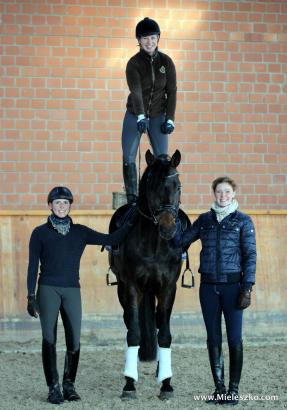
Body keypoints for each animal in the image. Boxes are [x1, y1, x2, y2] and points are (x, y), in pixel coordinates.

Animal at [108, 150, 189, 400]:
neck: (154, 243)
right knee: (129, 324)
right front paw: (129, 384)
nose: (168, 228)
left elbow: (165, 335)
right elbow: (133, 333)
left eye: (178, 186)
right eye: (152, 186)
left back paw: (159, 372)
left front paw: (166, 383)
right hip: (123, 289)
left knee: (157, 325)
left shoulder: (168, 288)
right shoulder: (131, 286)